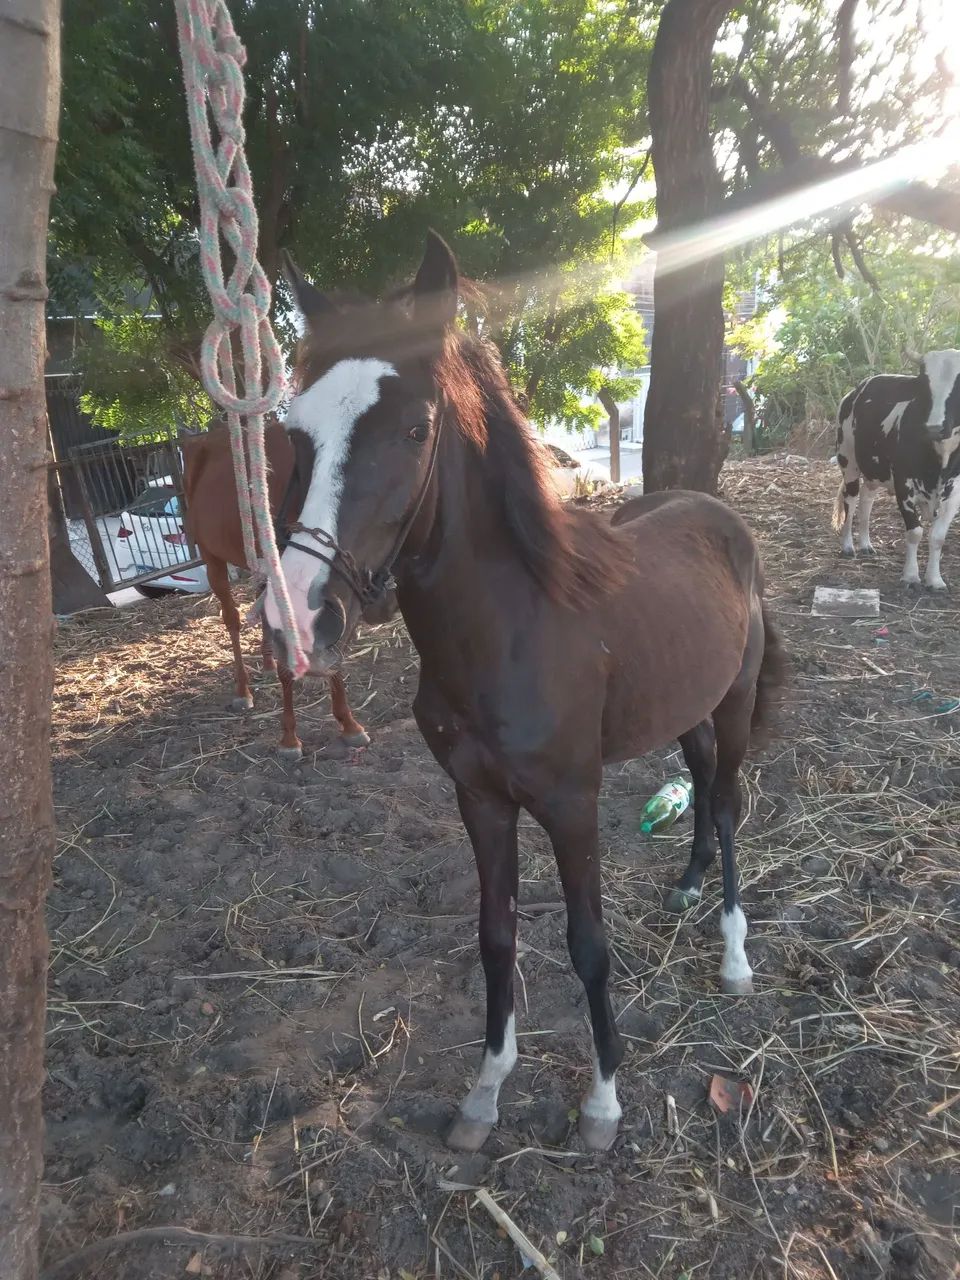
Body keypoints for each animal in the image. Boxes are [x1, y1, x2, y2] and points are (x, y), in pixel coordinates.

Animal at [181, 420, 371, 759]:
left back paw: (267, 660)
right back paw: (243, 690)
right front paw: (289, 738)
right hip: (211, 557)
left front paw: (349, 725)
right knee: (232, 620)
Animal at [262, 233, 786, 1152]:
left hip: (733, 699)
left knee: (725, 803)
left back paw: (732, 953)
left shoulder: (572, 803)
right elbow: (495, 936)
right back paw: (686, 886)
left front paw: (603, 1103)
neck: (511, 630)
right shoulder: (479, 800)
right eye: (297, 433)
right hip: (682, 706)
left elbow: (588, 943)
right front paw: (486, 1091)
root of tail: (717, 513)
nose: (299, 621)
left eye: (414, 427)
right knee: (697, 776)